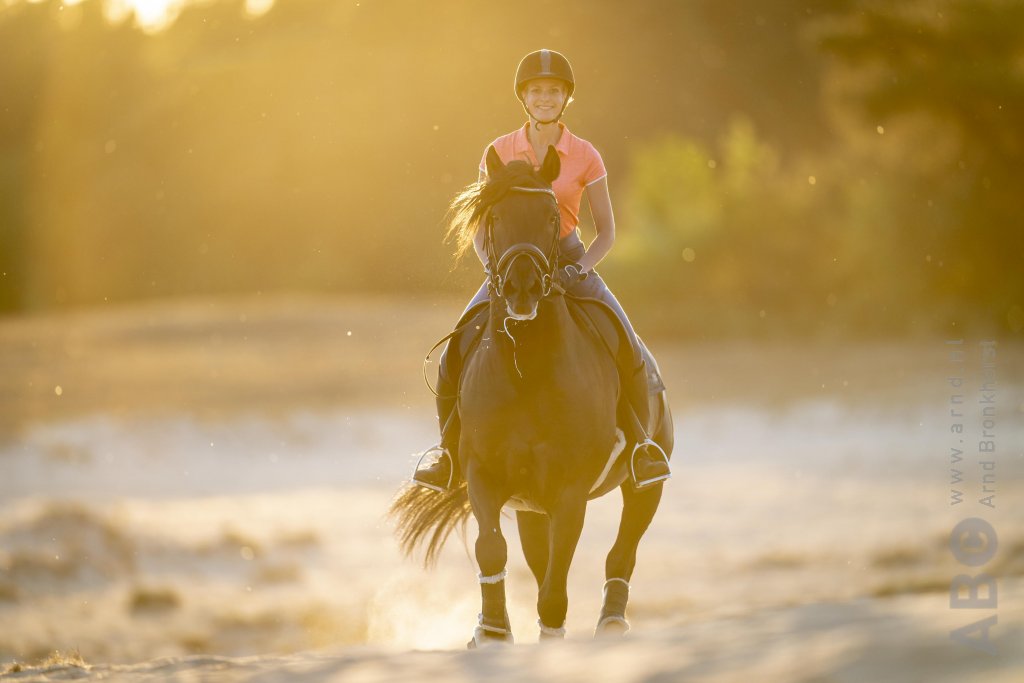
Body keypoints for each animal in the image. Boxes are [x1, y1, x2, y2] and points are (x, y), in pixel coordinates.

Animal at [391, 144, 671, 647]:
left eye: (551, 216)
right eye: (495, 215)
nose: (521, 286)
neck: (526, 369)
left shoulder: (570, 492)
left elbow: (558, 579)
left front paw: (545, 632)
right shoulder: (485, 477)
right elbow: (492, 550)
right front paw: (492, 629)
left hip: (645, 487)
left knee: (622, 550)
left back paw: (611, 621)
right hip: (529, 509)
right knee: (538, 558)